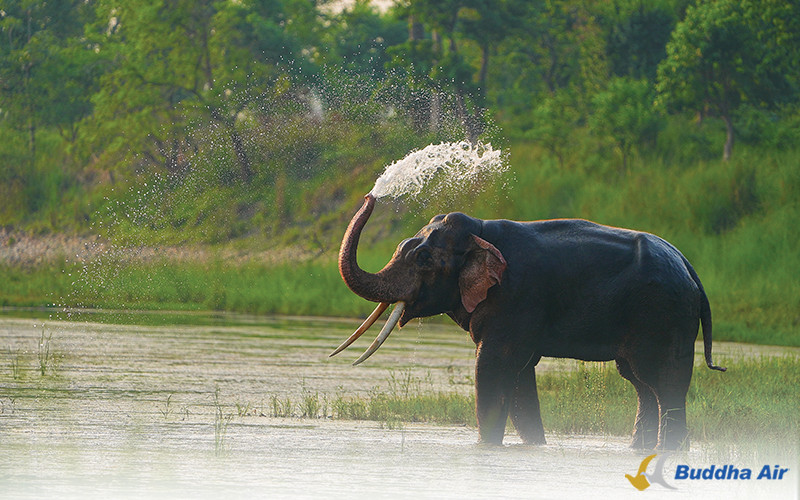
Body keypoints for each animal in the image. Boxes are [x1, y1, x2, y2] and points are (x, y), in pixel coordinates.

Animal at [331, 194, 725, 450]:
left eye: (424, 258)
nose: (371, 194)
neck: (481, 231)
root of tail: (690, 269)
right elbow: (521, 373)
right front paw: (535, 447)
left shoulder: (515, 299)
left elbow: (494, 366)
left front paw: (486, 448)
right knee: (641, 383)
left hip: (664, 315)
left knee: (664, 383)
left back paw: (671, 451)